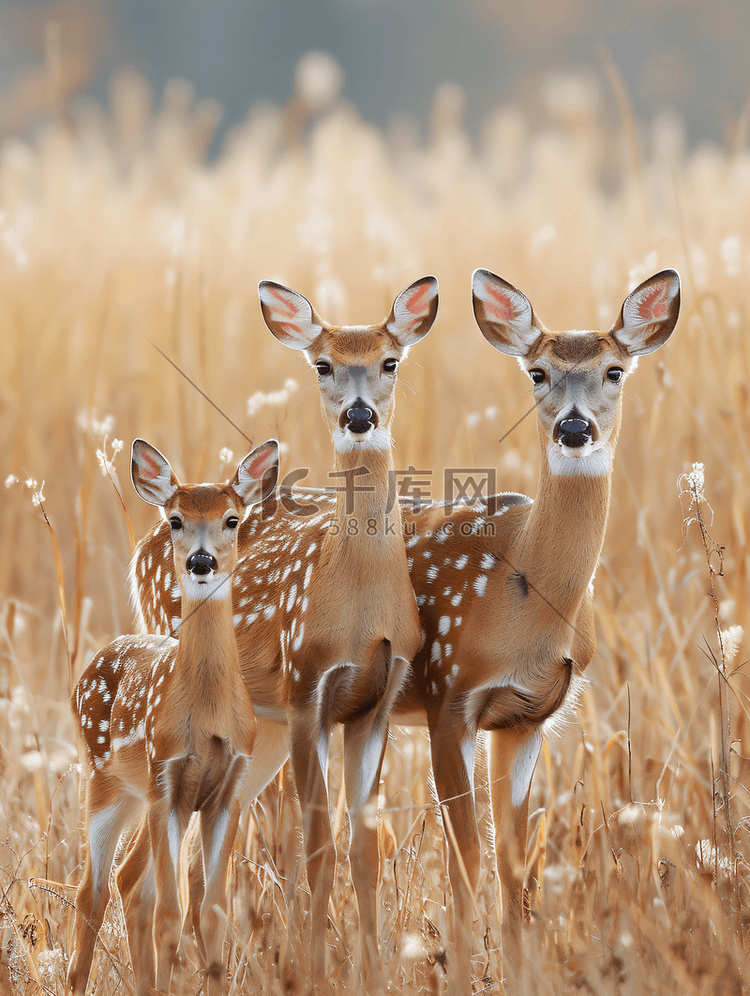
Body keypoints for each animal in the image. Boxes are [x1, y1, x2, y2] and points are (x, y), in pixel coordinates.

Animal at [66, 438, 280, 996]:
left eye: (231, 518)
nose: (202, 560)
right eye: (177, 519)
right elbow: (171, 912)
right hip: (106, 782)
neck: (206, 716)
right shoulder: (167, 778)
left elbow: (212, 912)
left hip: (137, 796)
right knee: (93, 891)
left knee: (127, 882)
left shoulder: (227, 788)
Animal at [129, 268, 680, 992]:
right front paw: (464, 967)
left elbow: (516, 867)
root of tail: (144, 543)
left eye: (614, 371)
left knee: (192, 860)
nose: (573, 427)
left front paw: (516, 970)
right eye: (538, 372)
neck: (528, 598)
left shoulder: (527, 718)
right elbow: (466, 859)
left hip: (260, 727)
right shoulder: (452, 698)